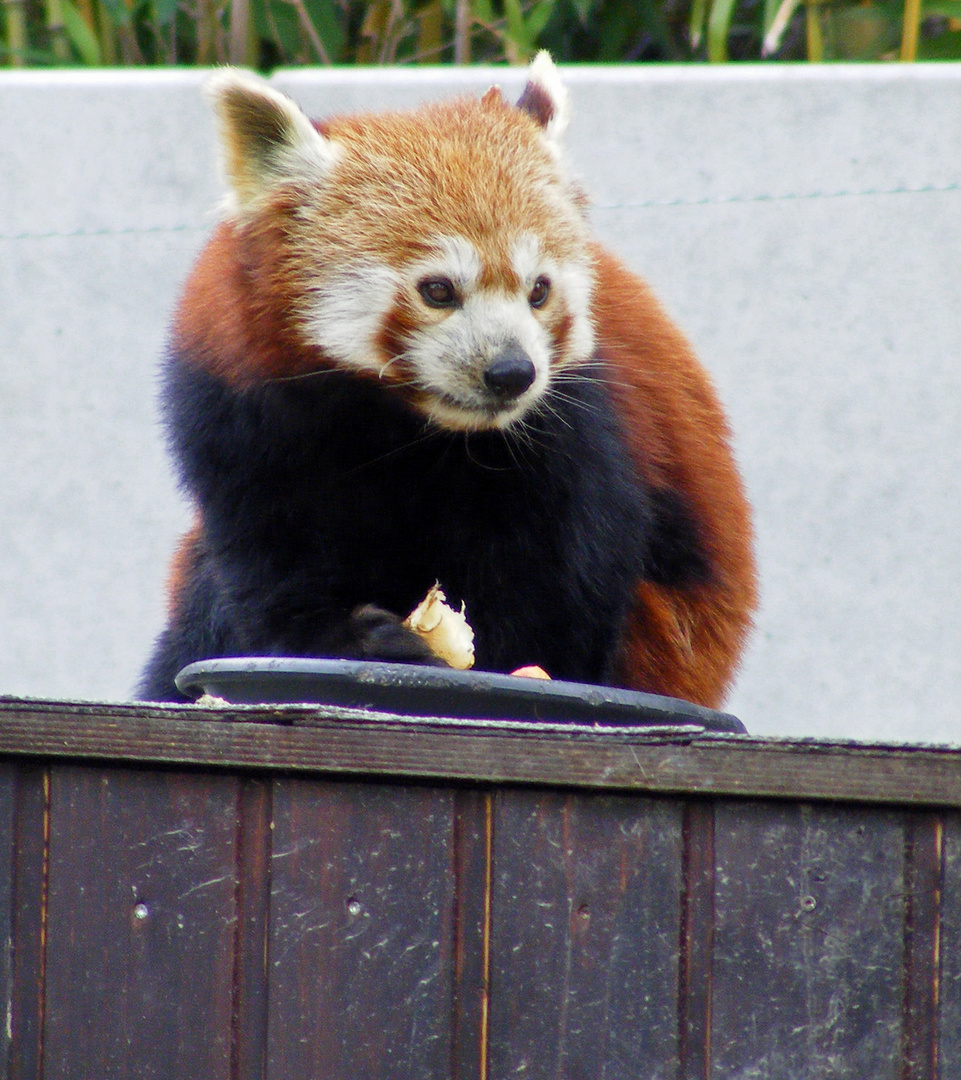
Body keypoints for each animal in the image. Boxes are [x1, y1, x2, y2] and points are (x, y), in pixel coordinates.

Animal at [134, 56, 755, 708]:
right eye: (438, 290)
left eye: (539, 290)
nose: (512, 372)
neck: (406, 426)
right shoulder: (245, 413)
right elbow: (273, 567)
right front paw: (358, 641)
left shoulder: (577, 435)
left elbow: (558, 591)